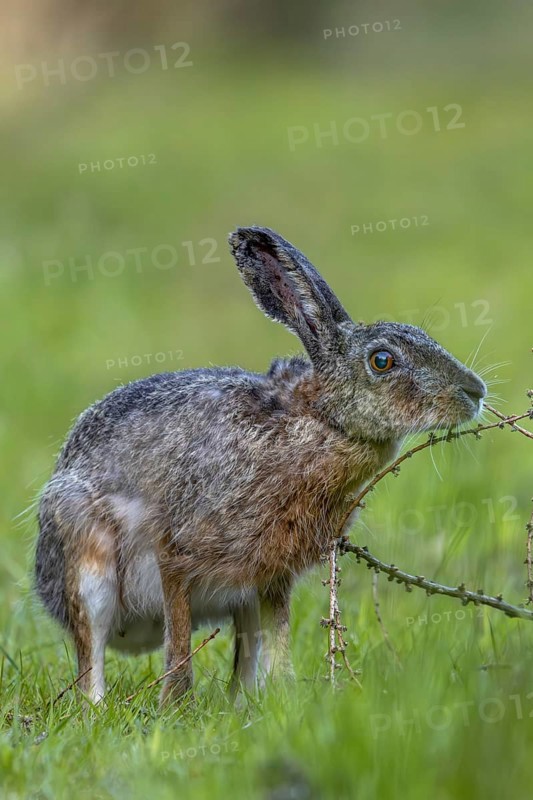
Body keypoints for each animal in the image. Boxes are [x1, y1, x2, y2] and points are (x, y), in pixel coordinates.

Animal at [35, 226, 487, 704]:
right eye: (382, 361)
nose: (475, 391)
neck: (318, 418)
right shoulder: (175, 553)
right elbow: (179, 643)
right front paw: (175, 704)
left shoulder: (272, 576)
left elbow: (277, 642)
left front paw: (285, 697)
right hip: (86, 560)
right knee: (92, 654)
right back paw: (98, 708)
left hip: (241, 596)